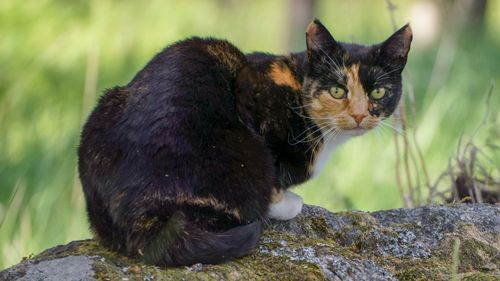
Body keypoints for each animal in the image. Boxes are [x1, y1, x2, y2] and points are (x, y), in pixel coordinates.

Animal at [78, 19, 412, 264]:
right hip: (243, 154)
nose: (358, 115)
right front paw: (286, 201)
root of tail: (140, 219)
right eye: (337, 90)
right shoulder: (251, 93)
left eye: (378, 92)